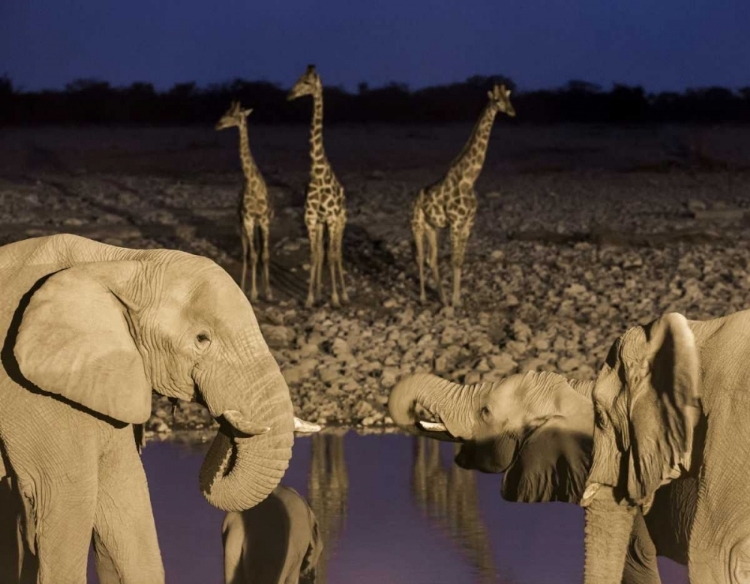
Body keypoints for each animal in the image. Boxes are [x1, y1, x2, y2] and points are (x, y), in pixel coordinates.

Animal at [214, 100, 274, 302]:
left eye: (232, 114)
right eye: (226, 111)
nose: (218, 124)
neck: (252, 183)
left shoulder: (263, 221)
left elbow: (264, 255)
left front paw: (268, 292)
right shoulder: (247, 220)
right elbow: (253, 255)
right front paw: (254, 293)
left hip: (255, 225)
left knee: (255, 251)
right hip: (242, 226)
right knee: (247, 253)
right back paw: (242, 286)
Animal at [288, 64, 350, 308]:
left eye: (306, 82)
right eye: (298, 79)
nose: (290, 95)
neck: (317, 171)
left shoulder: (332, 218)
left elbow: (332, 256)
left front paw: (335, 298)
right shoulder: (311, 218)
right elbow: (315, 255)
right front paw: (310, 298)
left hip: (340, 221)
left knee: (337, 252)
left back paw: (344, 295)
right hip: (323, 223)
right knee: (324, 252)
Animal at [414, 85, 516, 310]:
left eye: (508, 98)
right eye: (497, 100)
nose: (512, 111)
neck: (469, 179)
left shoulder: (469, 222)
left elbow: (460, 260)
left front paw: (456, 299)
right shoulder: (455, 222)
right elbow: (454, 260)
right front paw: (454, 301)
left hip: (432, 228)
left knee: (431, 259)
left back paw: (442, 298)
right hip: (416, 226)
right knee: (420, 257)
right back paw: (424, 298)